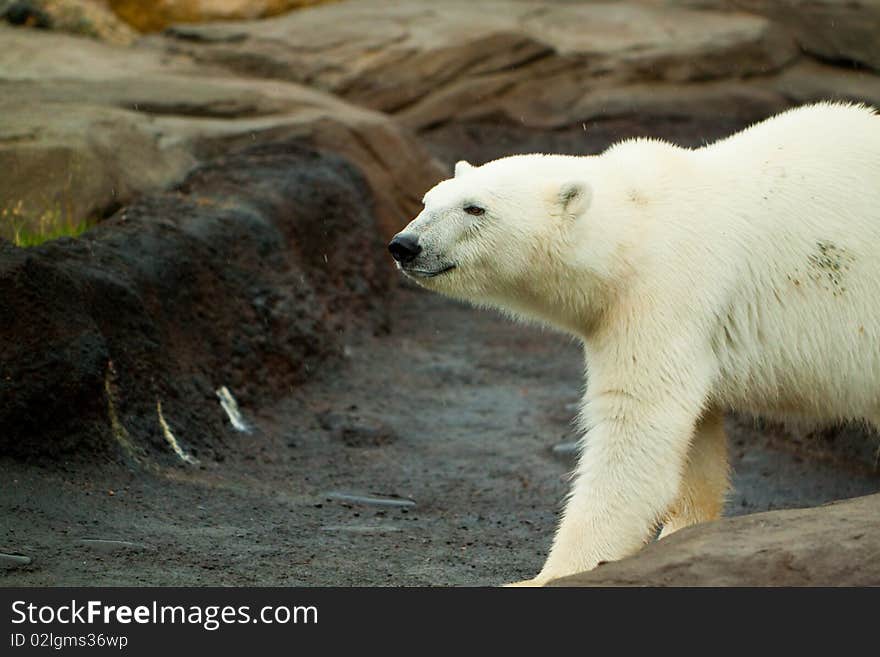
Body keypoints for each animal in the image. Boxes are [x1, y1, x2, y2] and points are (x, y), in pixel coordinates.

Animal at [388, 102, 880, 584]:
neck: (638, 224)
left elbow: (636, 426)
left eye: (475, 208)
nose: (405, 244)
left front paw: (552, 573)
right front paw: (683, 537)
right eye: (428, 199)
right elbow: (695, 436)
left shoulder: (665, 291)